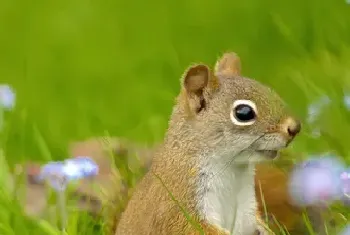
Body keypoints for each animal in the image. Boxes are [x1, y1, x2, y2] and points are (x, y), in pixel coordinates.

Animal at [114, 51, 300, 235]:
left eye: (269, 90)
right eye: (243, 113)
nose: (295, 128)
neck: (234, 171)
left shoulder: (246, 209)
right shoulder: (179, 205)